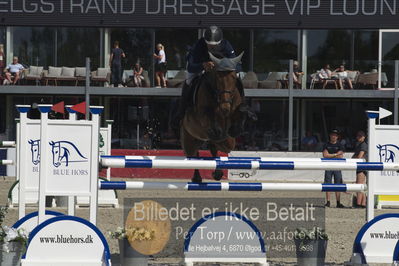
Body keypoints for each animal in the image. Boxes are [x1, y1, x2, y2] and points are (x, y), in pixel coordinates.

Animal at [181, 52, 247, 183]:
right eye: (217, 78)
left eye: (233, 77)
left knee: (213, 148)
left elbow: (231, 135)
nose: (225, 107)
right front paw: (217, 132)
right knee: (193, 155)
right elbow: (213, 126)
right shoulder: (203, 115)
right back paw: (197, 177)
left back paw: (217, 173)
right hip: (189, 138)